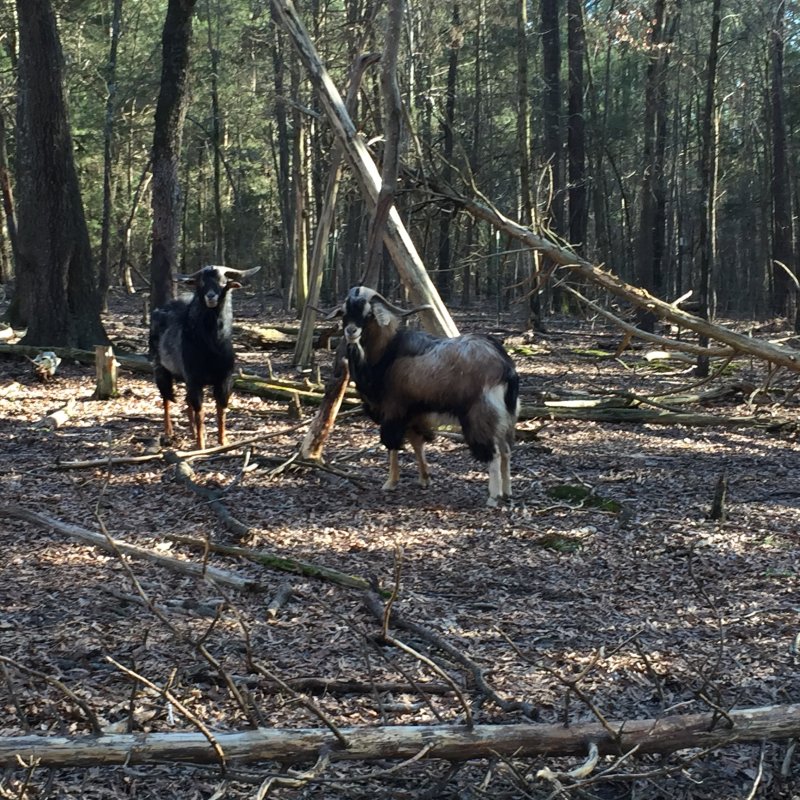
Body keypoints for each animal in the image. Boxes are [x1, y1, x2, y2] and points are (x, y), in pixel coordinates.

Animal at [149, 264, 260, 446]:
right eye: (201, 282)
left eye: (223, 282)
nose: (211, 296)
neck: (211, 347)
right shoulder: (194, 379)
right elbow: (200, 411)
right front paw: (201, 445)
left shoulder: (224, 379)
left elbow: (221, 410)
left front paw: (223, 441)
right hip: (160, 367)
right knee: (166, 398)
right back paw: (168, 432)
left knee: (185, 401)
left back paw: (192, 432)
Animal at [330, 284, 520, 504]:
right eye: (344, 312)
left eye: (368, 313)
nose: (351, 331)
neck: (387, 352)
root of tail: (505, 366)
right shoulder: (415, 413)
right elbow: (417, 443)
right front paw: (424, 479)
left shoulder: (393, 409)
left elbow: (392, 443)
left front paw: (390, 482)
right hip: (505, 417)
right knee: (506, 450)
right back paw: (507, 491)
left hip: (480, 416)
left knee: (494, 452)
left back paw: (493, 497)